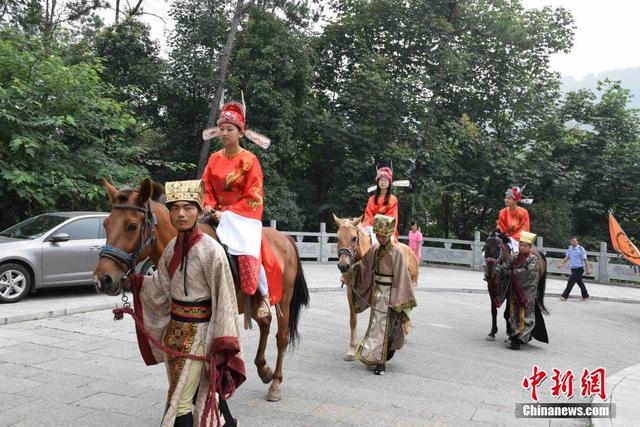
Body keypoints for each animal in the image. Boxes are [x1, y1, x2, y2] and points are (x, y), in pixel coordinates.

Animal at [93, 176, 310, 402]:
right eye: (106, 225)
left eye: (132, 226)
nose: (103, 279)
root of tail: (286, 239)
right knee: (265, 322)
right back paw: (264, 369)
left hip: (285, 297)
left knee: (281, 337)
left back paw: (275, 382)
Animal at [332, 216, 418, 362]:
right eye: (337, 238)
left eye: (354, 238)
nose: (343, 265)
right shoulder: (351, 290)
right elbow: (353, 320)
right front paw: (351, 350)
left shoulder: (376, 292)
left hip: (407, 285)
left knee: (405, 309)